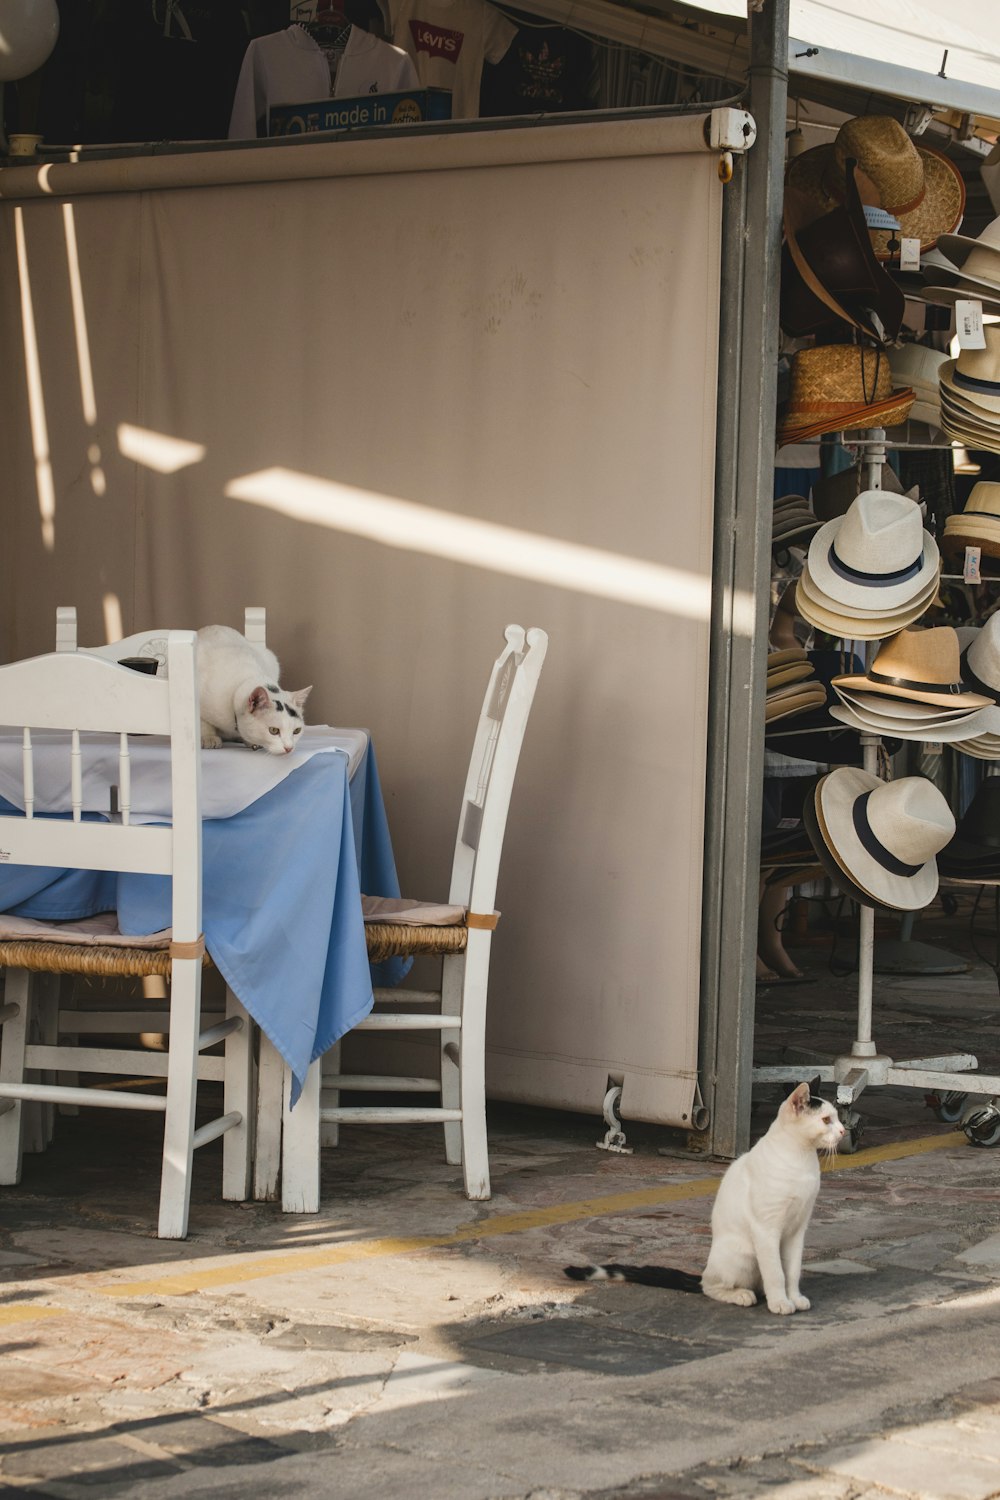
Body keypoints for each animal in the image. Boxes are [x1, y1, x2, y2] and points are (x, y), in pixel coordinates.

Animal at [563, 1092, 845, 1314]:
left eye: (837, 1117)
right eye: (826, 1120)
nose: (843, 1131)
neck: (800, 1158)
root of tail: (706, 1270)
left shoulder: (797, 1230)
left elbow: (792, 1270)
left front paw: (794, 1298)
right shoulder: (767, 1230)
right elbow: (776, 1272)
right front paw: (781, 1303)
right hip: (744, 1255)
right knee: (713, 1287)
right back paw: (742, 1294)